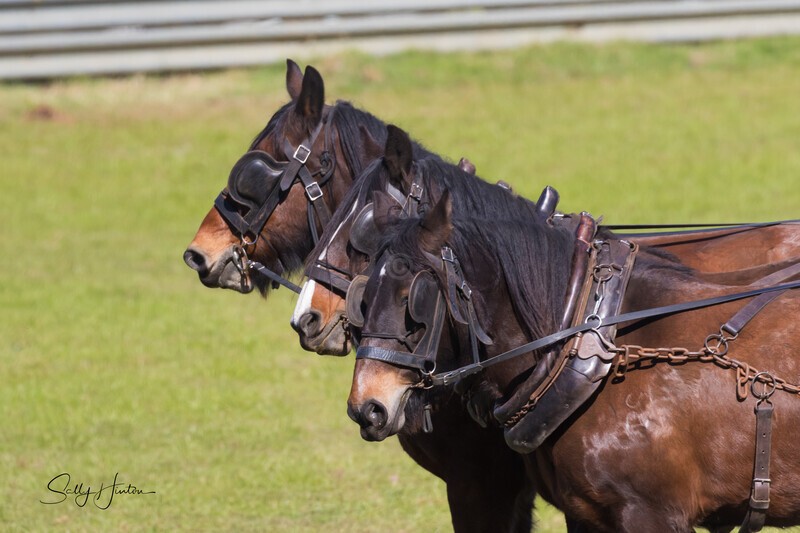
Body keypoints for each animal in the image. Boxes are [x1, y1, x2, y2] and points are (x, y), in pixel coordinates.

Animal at [348, 184, 800, 532]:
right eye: (363, 296)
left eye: (413, 301)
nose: (366, 407)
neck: (594, 346)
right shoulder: (586, 515)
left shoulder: (650, 514)